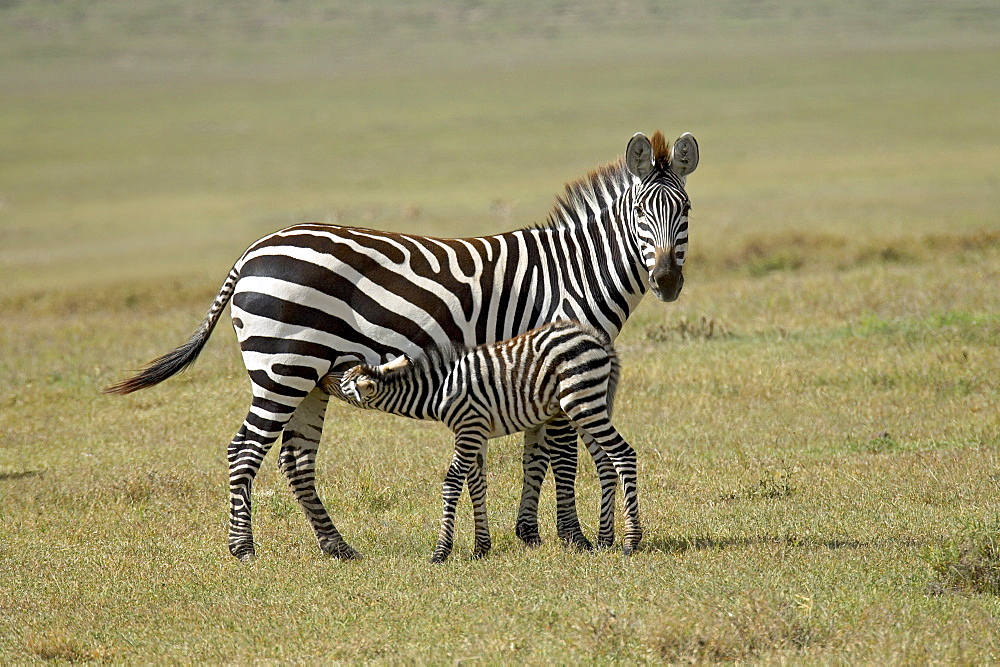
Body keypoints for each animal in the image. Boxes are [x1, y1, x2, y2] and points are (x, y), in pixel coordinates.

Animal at [324, 322, 644, 564]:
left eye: (343, 383)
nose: (324, 374)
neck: (438, 391)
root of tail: (595, 338)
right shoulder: (476, 433)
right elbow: (477, 484)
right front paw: (481, 547)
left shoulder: (468, 428)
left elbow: (453, 482)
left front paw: (441, 552)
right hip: (583, 405)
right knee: (605, 462)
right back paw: (604, 539)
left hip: (582, 402)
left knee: (623, 454)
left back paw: (631, 541)